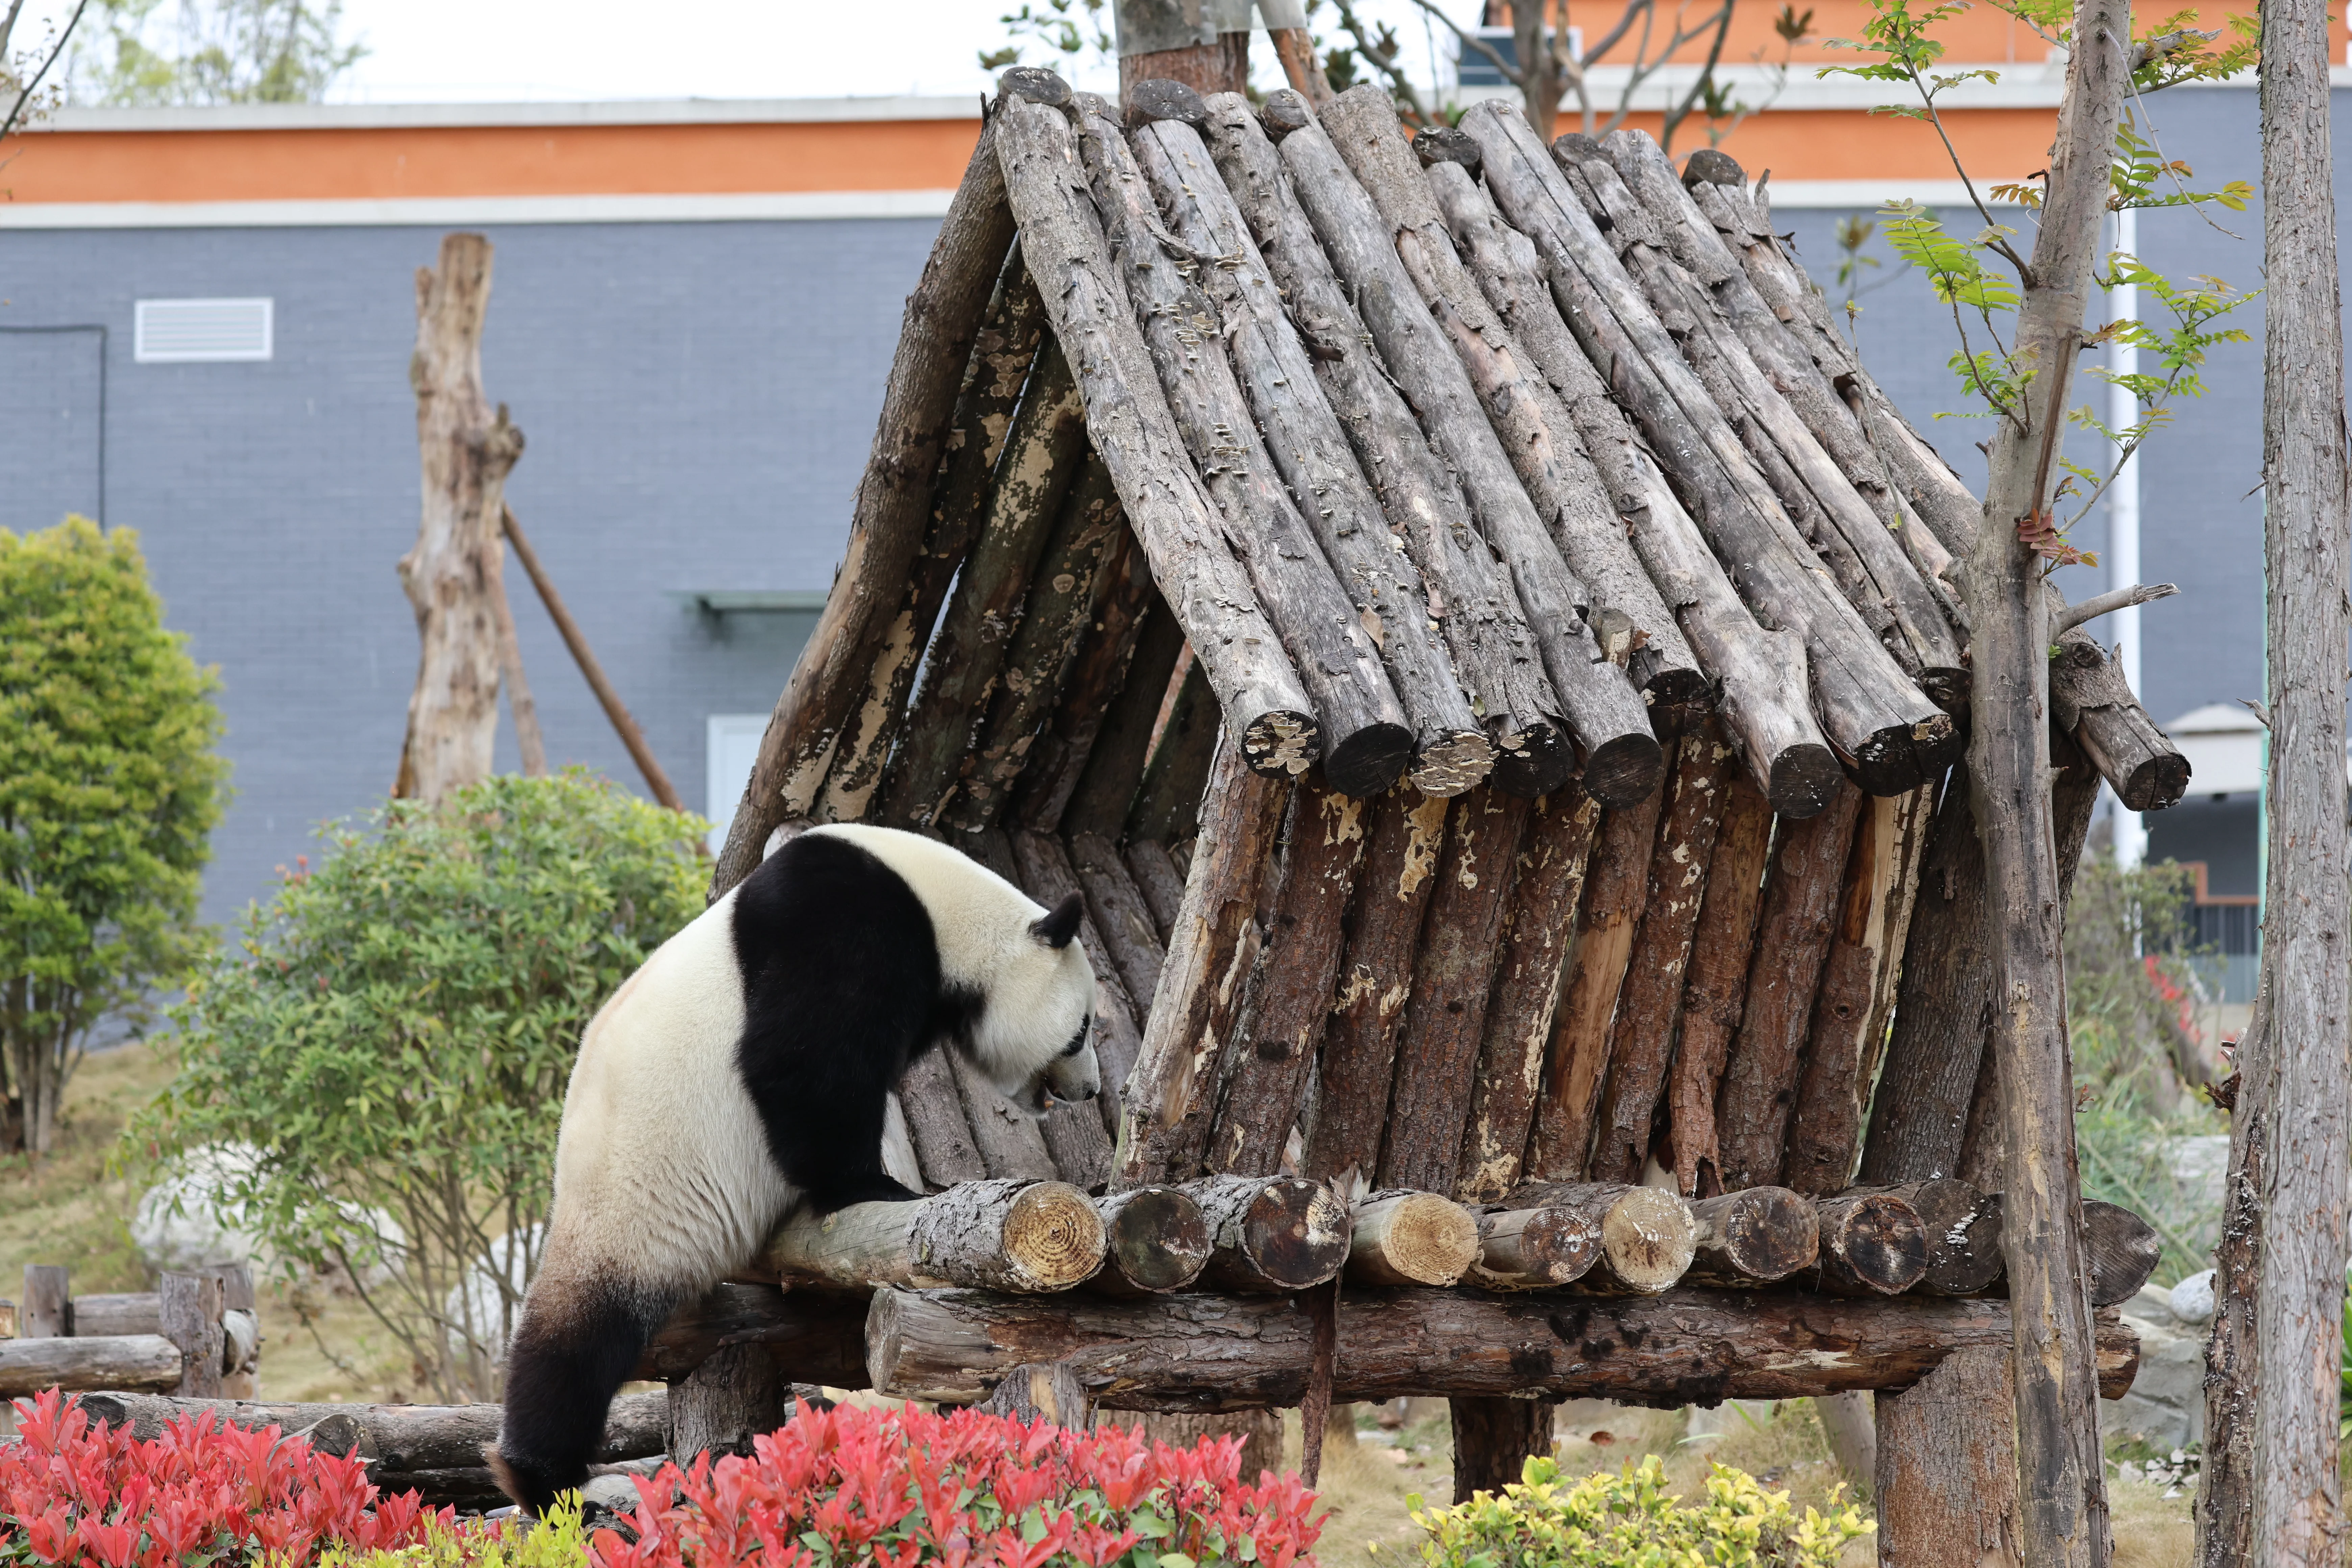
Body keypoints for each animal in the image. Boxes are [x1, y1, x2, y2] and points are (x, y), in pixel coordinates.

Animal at [486, 822, 1103, 1514]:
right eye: (1081, 1029)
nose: (1088, 1091)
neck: (946, 911)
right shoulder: (840, 927)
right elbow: (800, 1065)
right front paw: (870, 1187)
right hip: (634, 1203)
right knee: (580, 1345)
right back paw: (555, 1482)